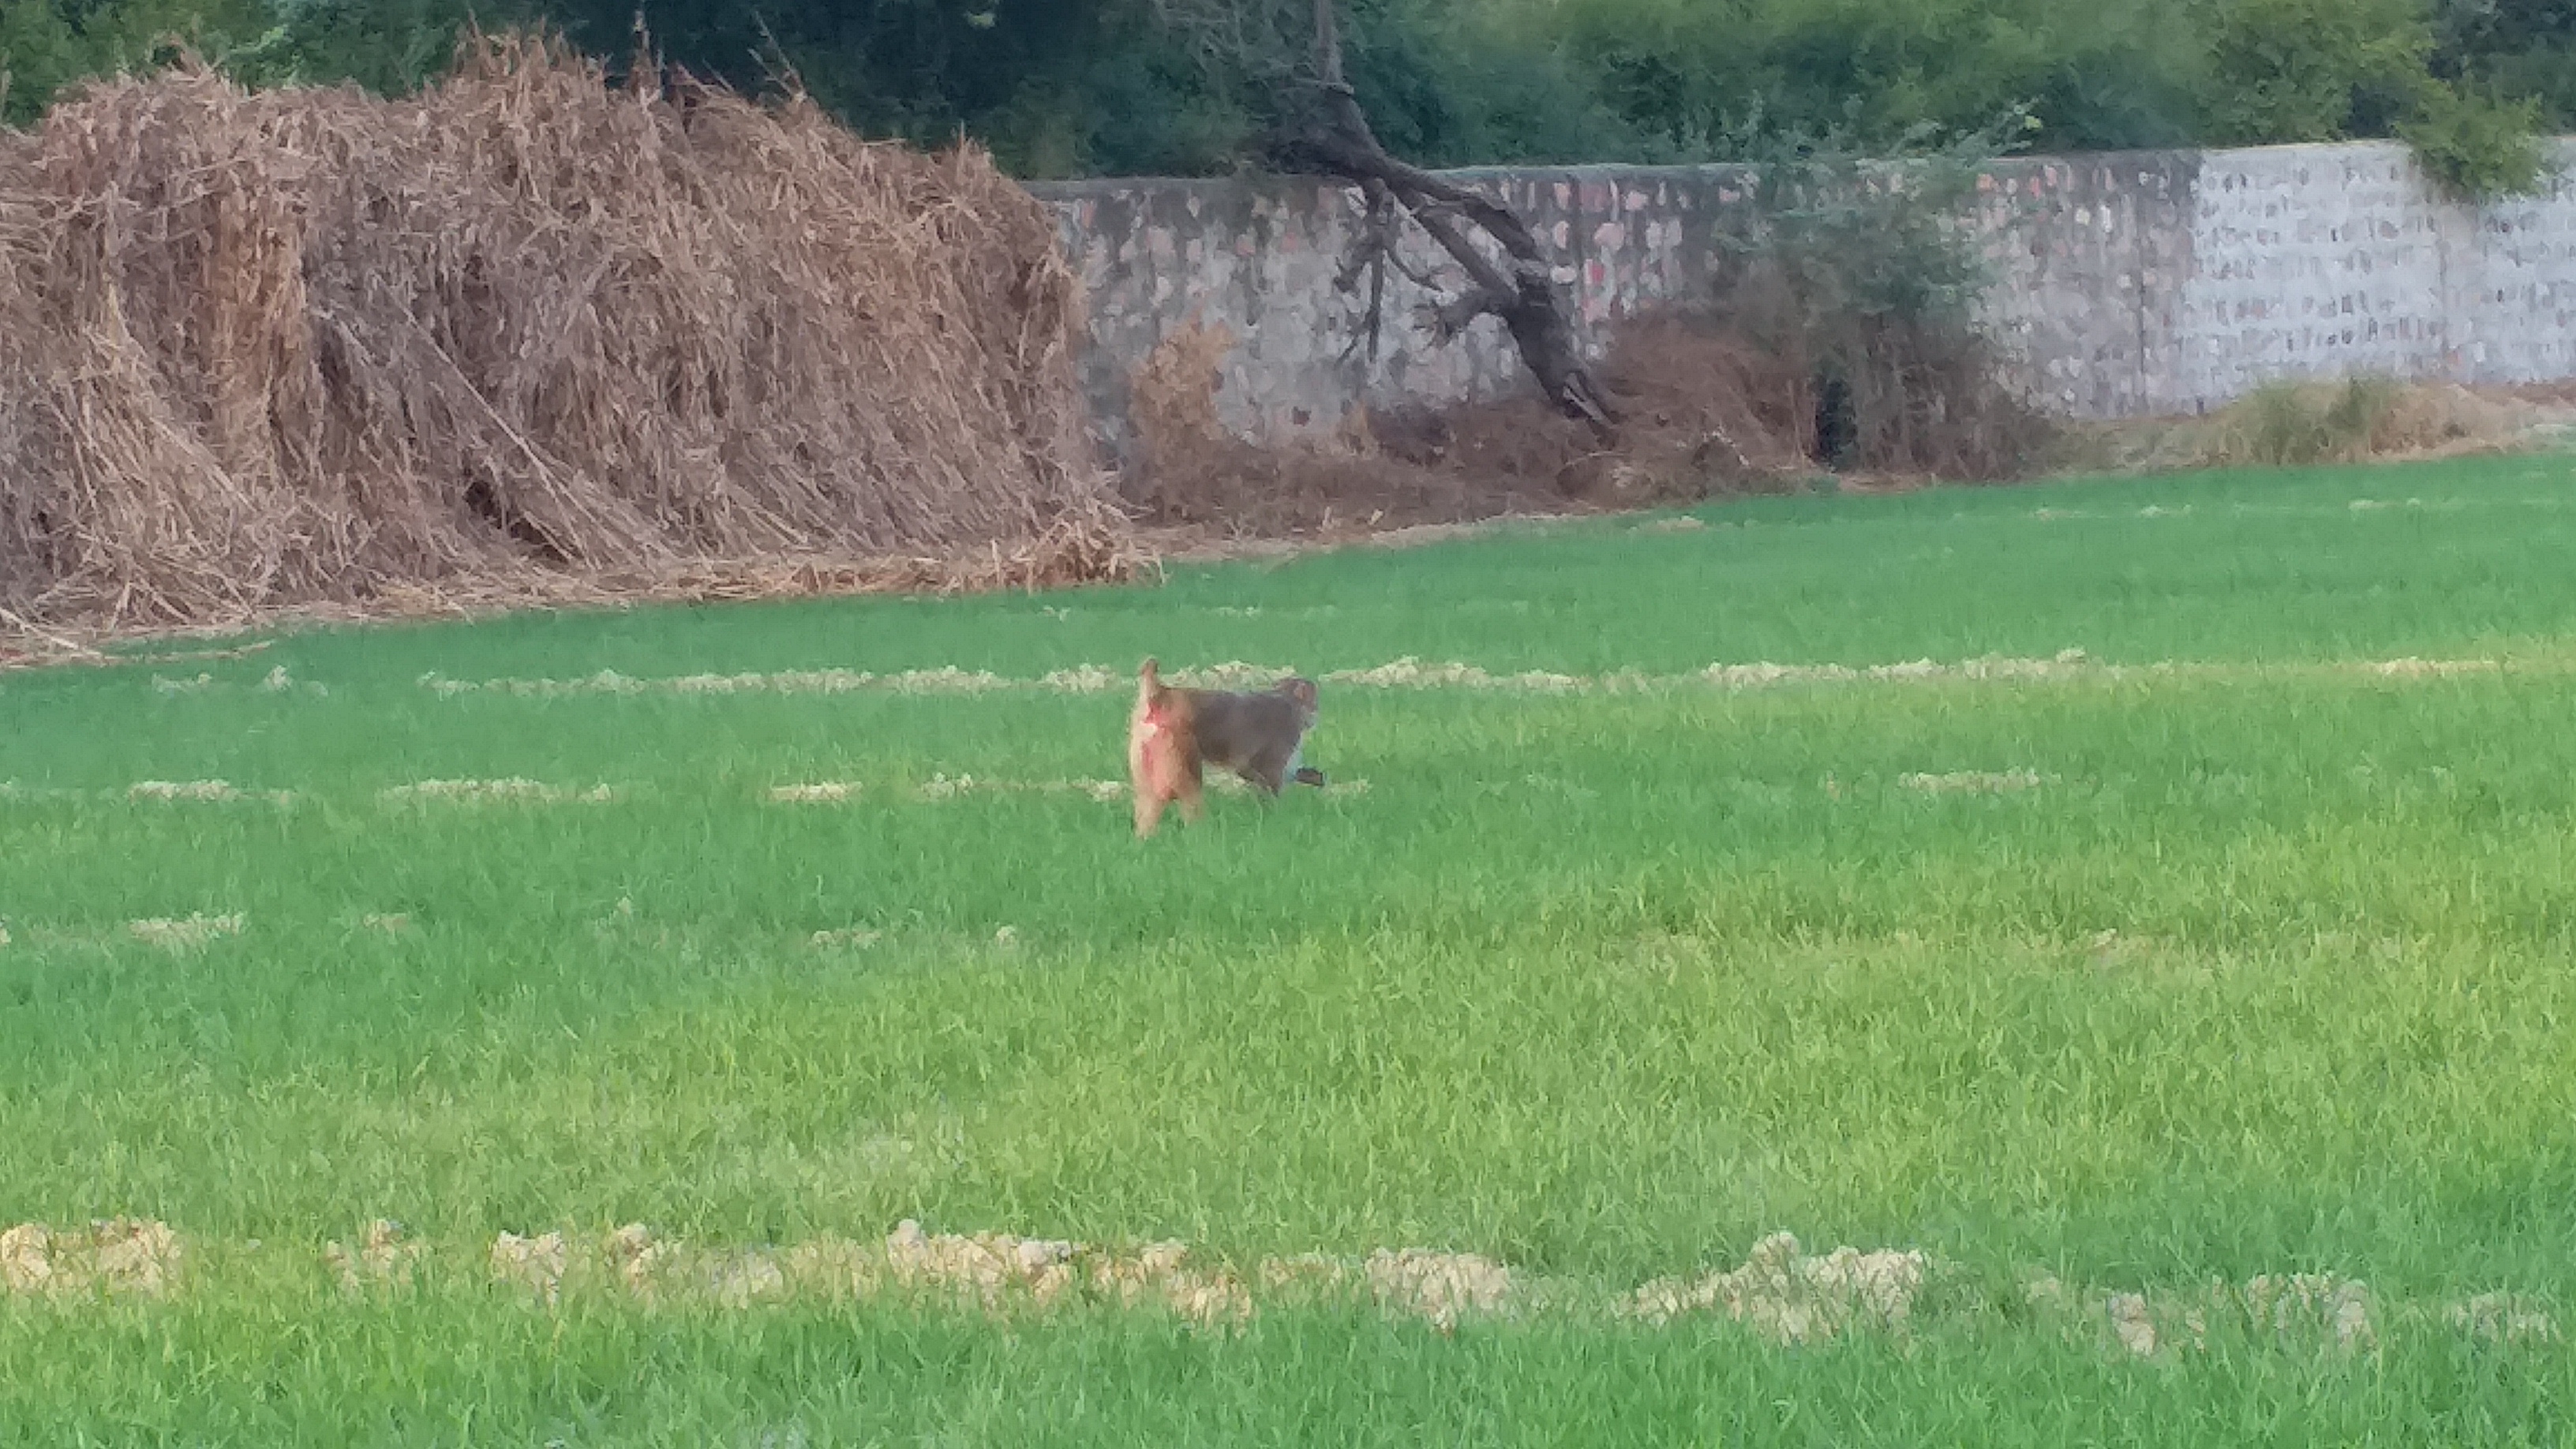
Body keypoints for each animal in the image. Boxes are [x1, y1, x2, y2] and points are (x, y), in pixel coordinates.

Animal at [1128, 657, 1329, 835]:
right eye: (1314, 701)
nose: (1315, 716)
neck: (1287, 699)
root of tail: (1162, 695)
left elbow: (1248, 771)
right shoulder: (1286, 732)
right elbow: (1269, 776)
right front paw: (1275, 816)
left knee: (1148, 798)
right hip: (1177, 745)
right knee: (1189, 788)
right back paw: (1199, 833)